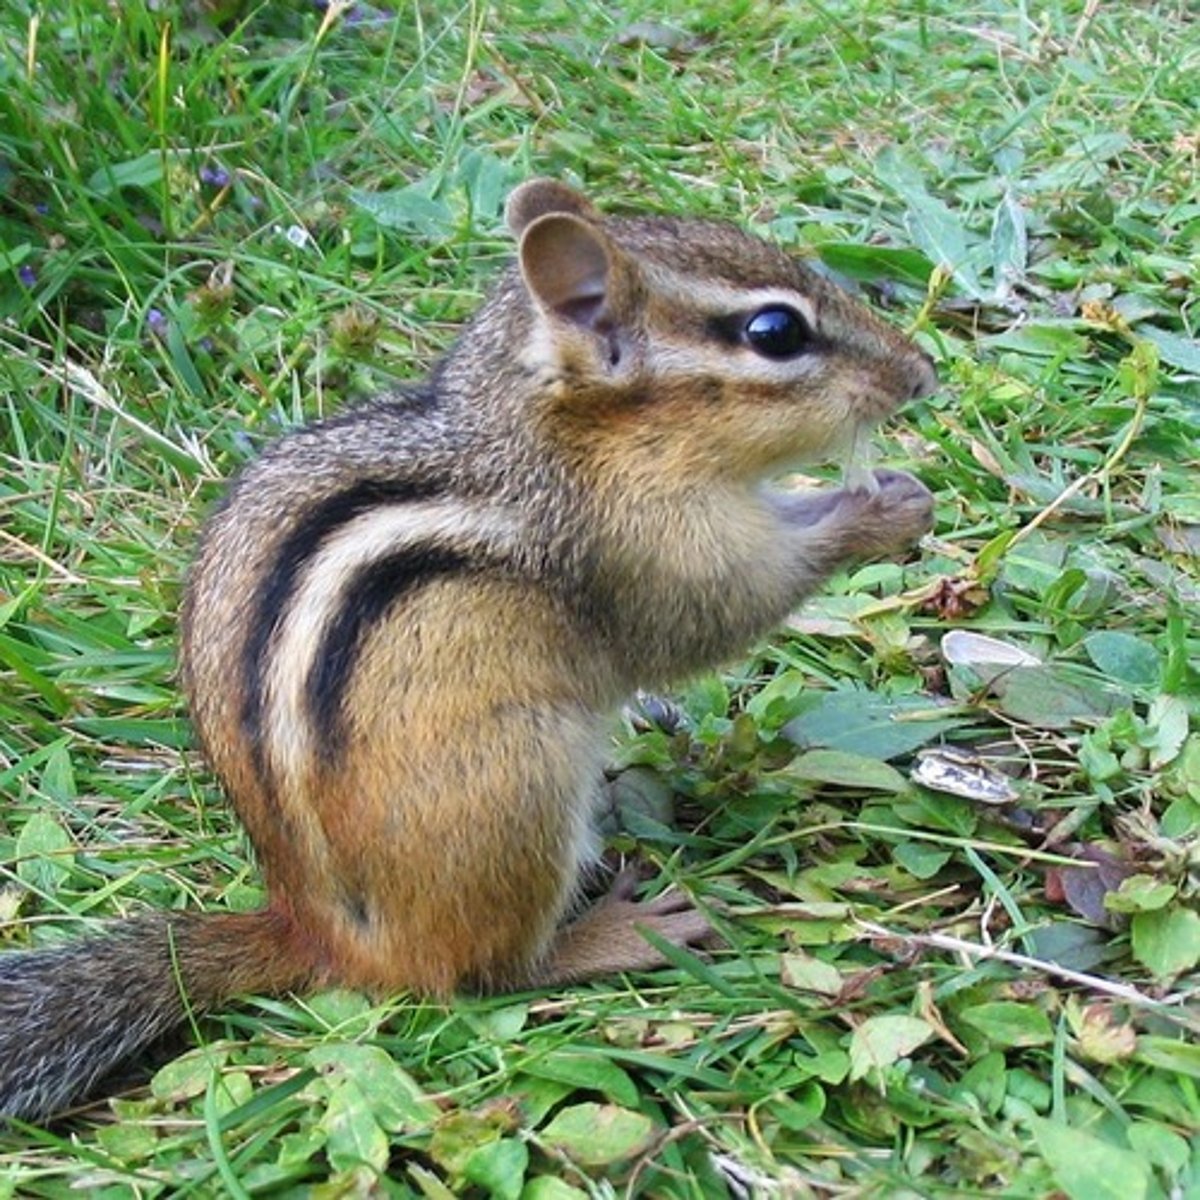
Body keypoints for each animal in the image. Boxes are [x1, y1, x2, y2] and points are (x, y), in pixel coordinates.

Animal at [0, 178, 936, 1121]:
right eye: (775, 333)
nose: (922, 373)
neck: (561, 438)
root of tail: (319, 930)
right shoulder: (638, 554)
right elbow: (716, 613)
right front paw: (881, 514)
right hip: (518, 784)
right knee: (486, 973)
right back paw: (619, 934)